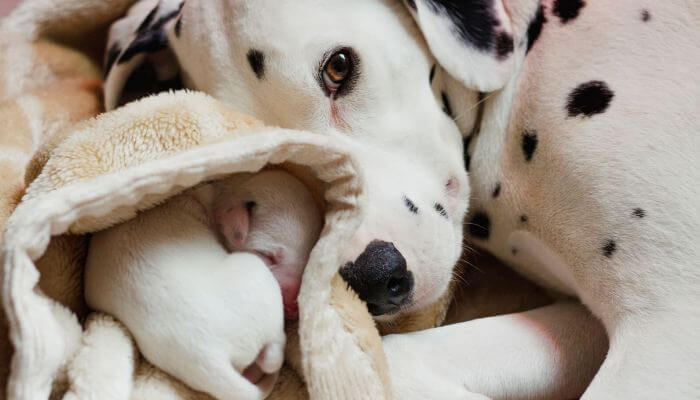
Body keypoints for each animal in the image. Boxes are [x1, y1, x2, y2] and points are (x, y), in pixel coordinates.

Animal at [85, 170, 322, 400]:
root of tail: (212, 358)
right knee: (274, 354)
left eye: (308, 259)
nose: (293, 307)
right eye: (268, 255)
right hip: (254, 271)